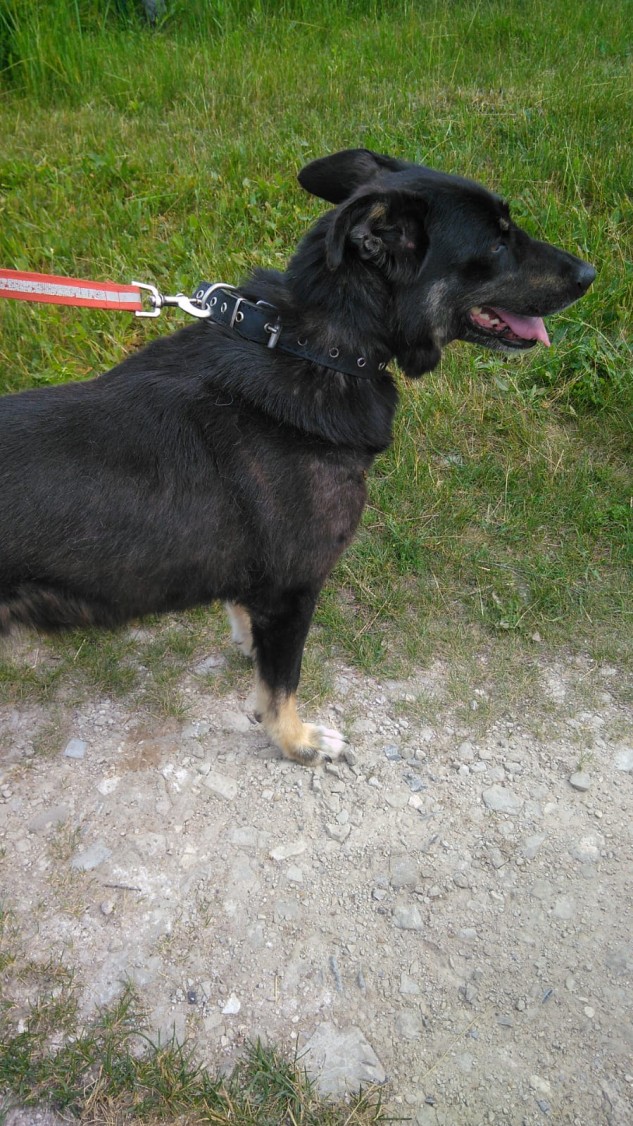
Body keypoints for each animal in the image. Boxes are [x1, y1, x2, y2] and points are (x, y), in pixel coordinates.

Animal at [0, 148, 595, 764]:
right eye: (498, 242)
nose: (590, 275)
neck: (316, 348)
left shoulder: (266, 588)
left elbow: (251, 630)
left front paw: (246, 644)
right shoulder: (294, 588)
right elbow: (282, 684)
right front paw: (297, 741)